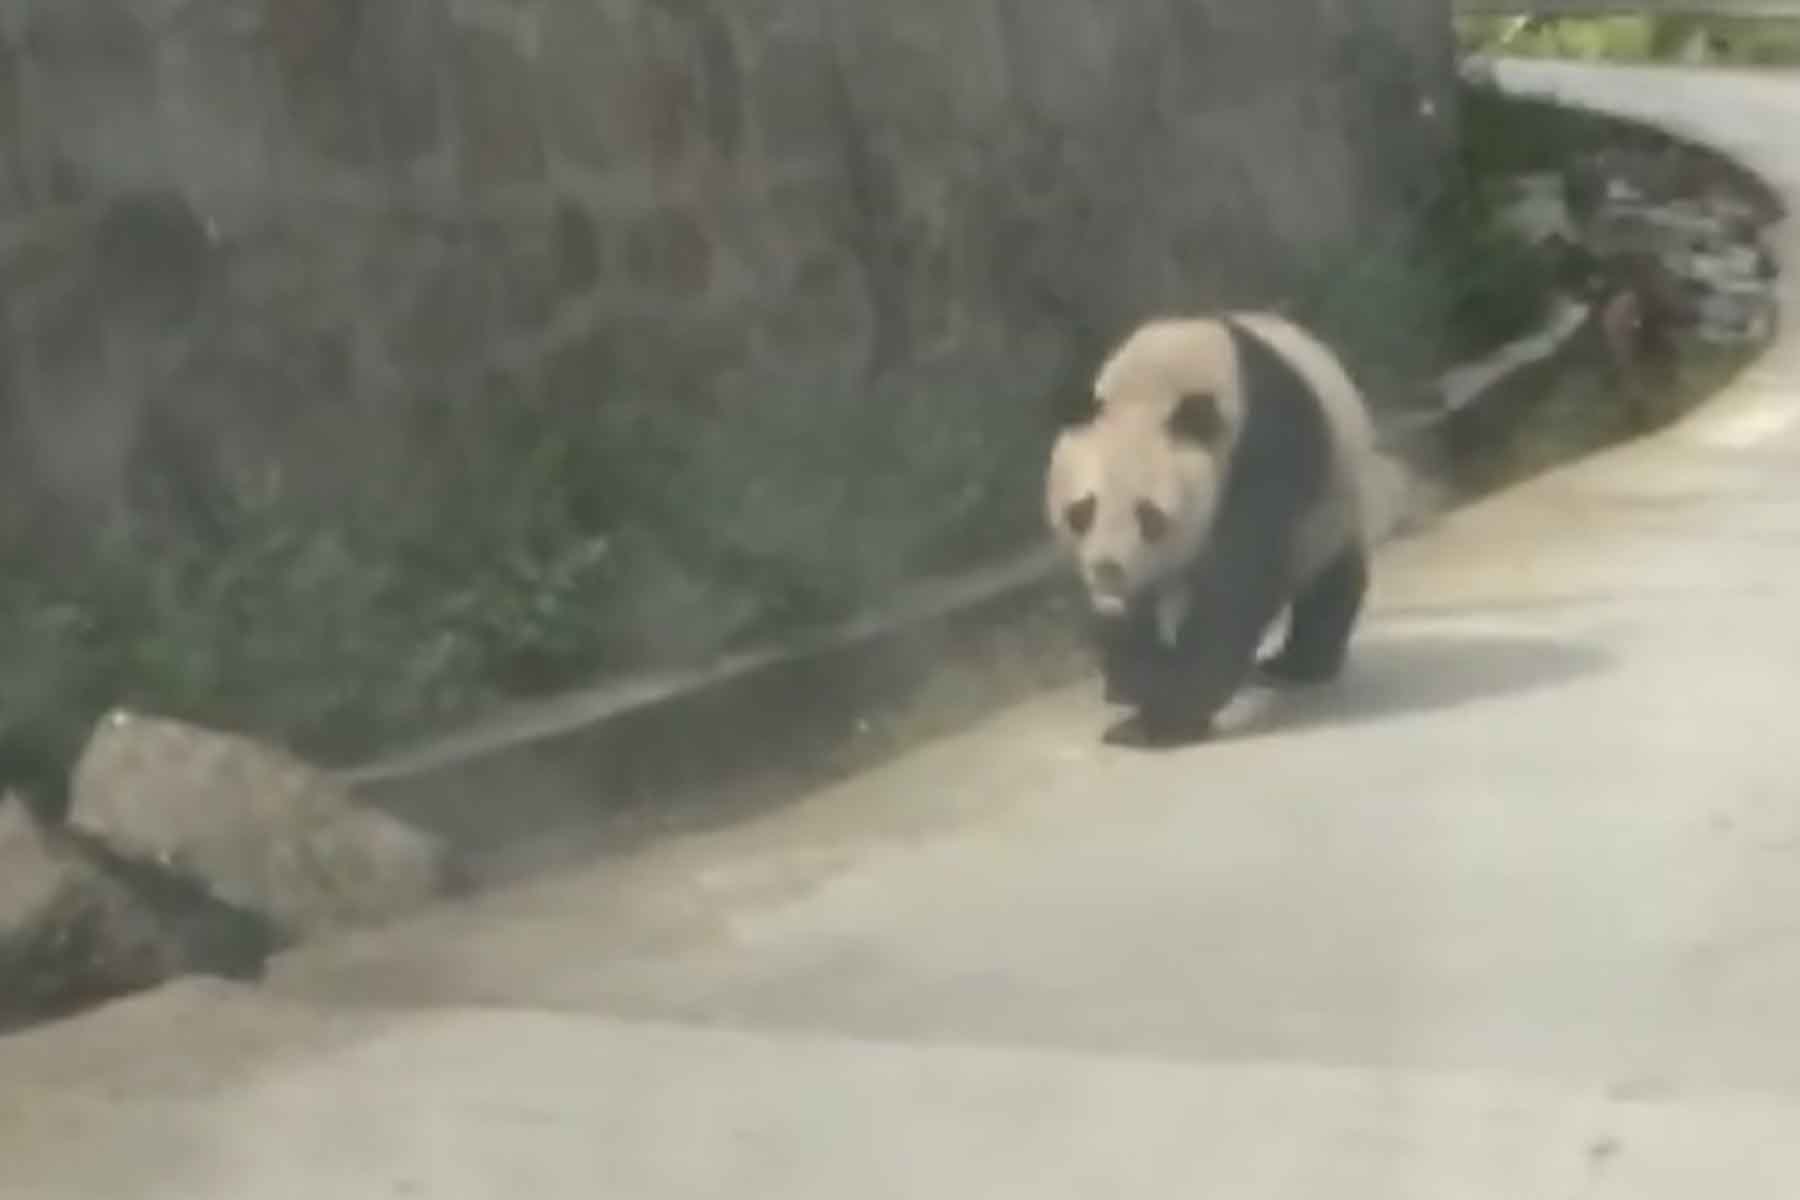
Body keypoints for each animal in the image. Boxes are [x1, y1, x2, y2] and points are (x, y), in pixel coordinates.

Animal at [1045, 311, 1395, 746]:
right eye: (1083, 510)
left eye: (1149, 516)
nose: (1108, 569)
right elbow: (1129, 615)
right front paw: (1131, 674)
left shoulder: (1267, 449)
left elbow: (1236, 591)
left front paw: (1157, 722)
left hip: (1330, 509)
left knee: (1329, 583)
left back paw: (1297, 664)